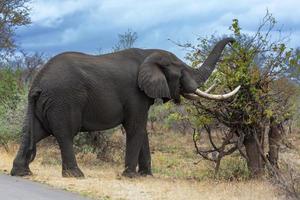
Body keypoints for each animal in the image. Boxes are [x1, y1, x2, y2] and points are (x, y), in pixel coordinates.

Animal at [9, 36, 239, 177]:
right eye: (181, 71)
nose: (234, 41)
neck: (149, 54)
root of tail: (37, 83)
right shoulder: (134, 93)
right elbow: (135, 127)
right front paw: (130, 176)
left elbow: (142, 129)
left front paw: (146, 176)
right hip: (63, 100)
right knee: (65, 133)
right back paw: (76, 175)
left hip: (42, 104)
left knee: (32, 131)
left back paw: (22, 173)